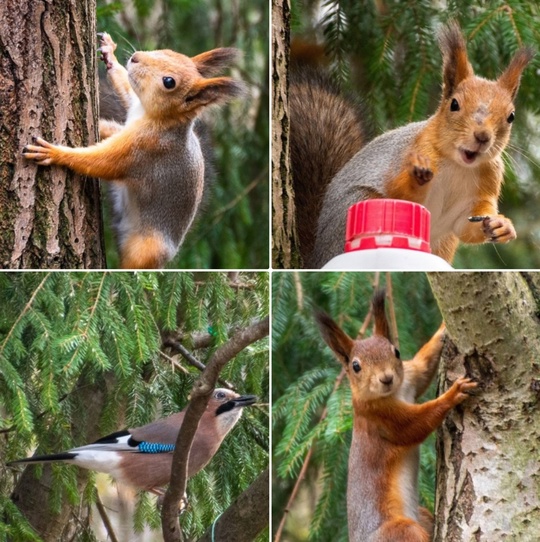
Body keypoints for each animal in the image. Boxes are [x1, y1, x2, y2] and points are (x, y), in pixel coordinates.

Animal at [23, 32, 243, 270]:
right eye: (167, 51)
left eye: (169, 82)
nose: (136, 57)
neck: (157, 118)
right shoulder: (133, 109)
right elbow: (127, 93)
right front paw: (110, 54)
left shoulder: (145, 149)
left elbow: (103, 162)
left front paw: (53, 153)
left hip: (144, 252)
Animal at [292, 22, 532, 268]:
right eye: (454, 104)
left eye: (511, 116)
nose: (482, 136)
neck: (458, 164)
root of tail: (318, 255)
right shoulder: (408, 154)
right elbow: (400, 192)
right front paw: (419, 175)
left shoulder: (486, 184)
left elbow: (466, 226)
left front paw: (501, 226)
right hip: (357, 204)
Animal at [316, 292, 476, 540]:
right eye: (355, 366)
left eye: (396, 352)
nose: (386, 378)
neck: (395, 392)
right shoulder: (381, 418)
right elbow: (415, 425)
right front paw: (453, 393)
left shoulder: (410, 377)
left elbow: (424, 365)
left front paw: (442, 327)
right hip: (401, 531)